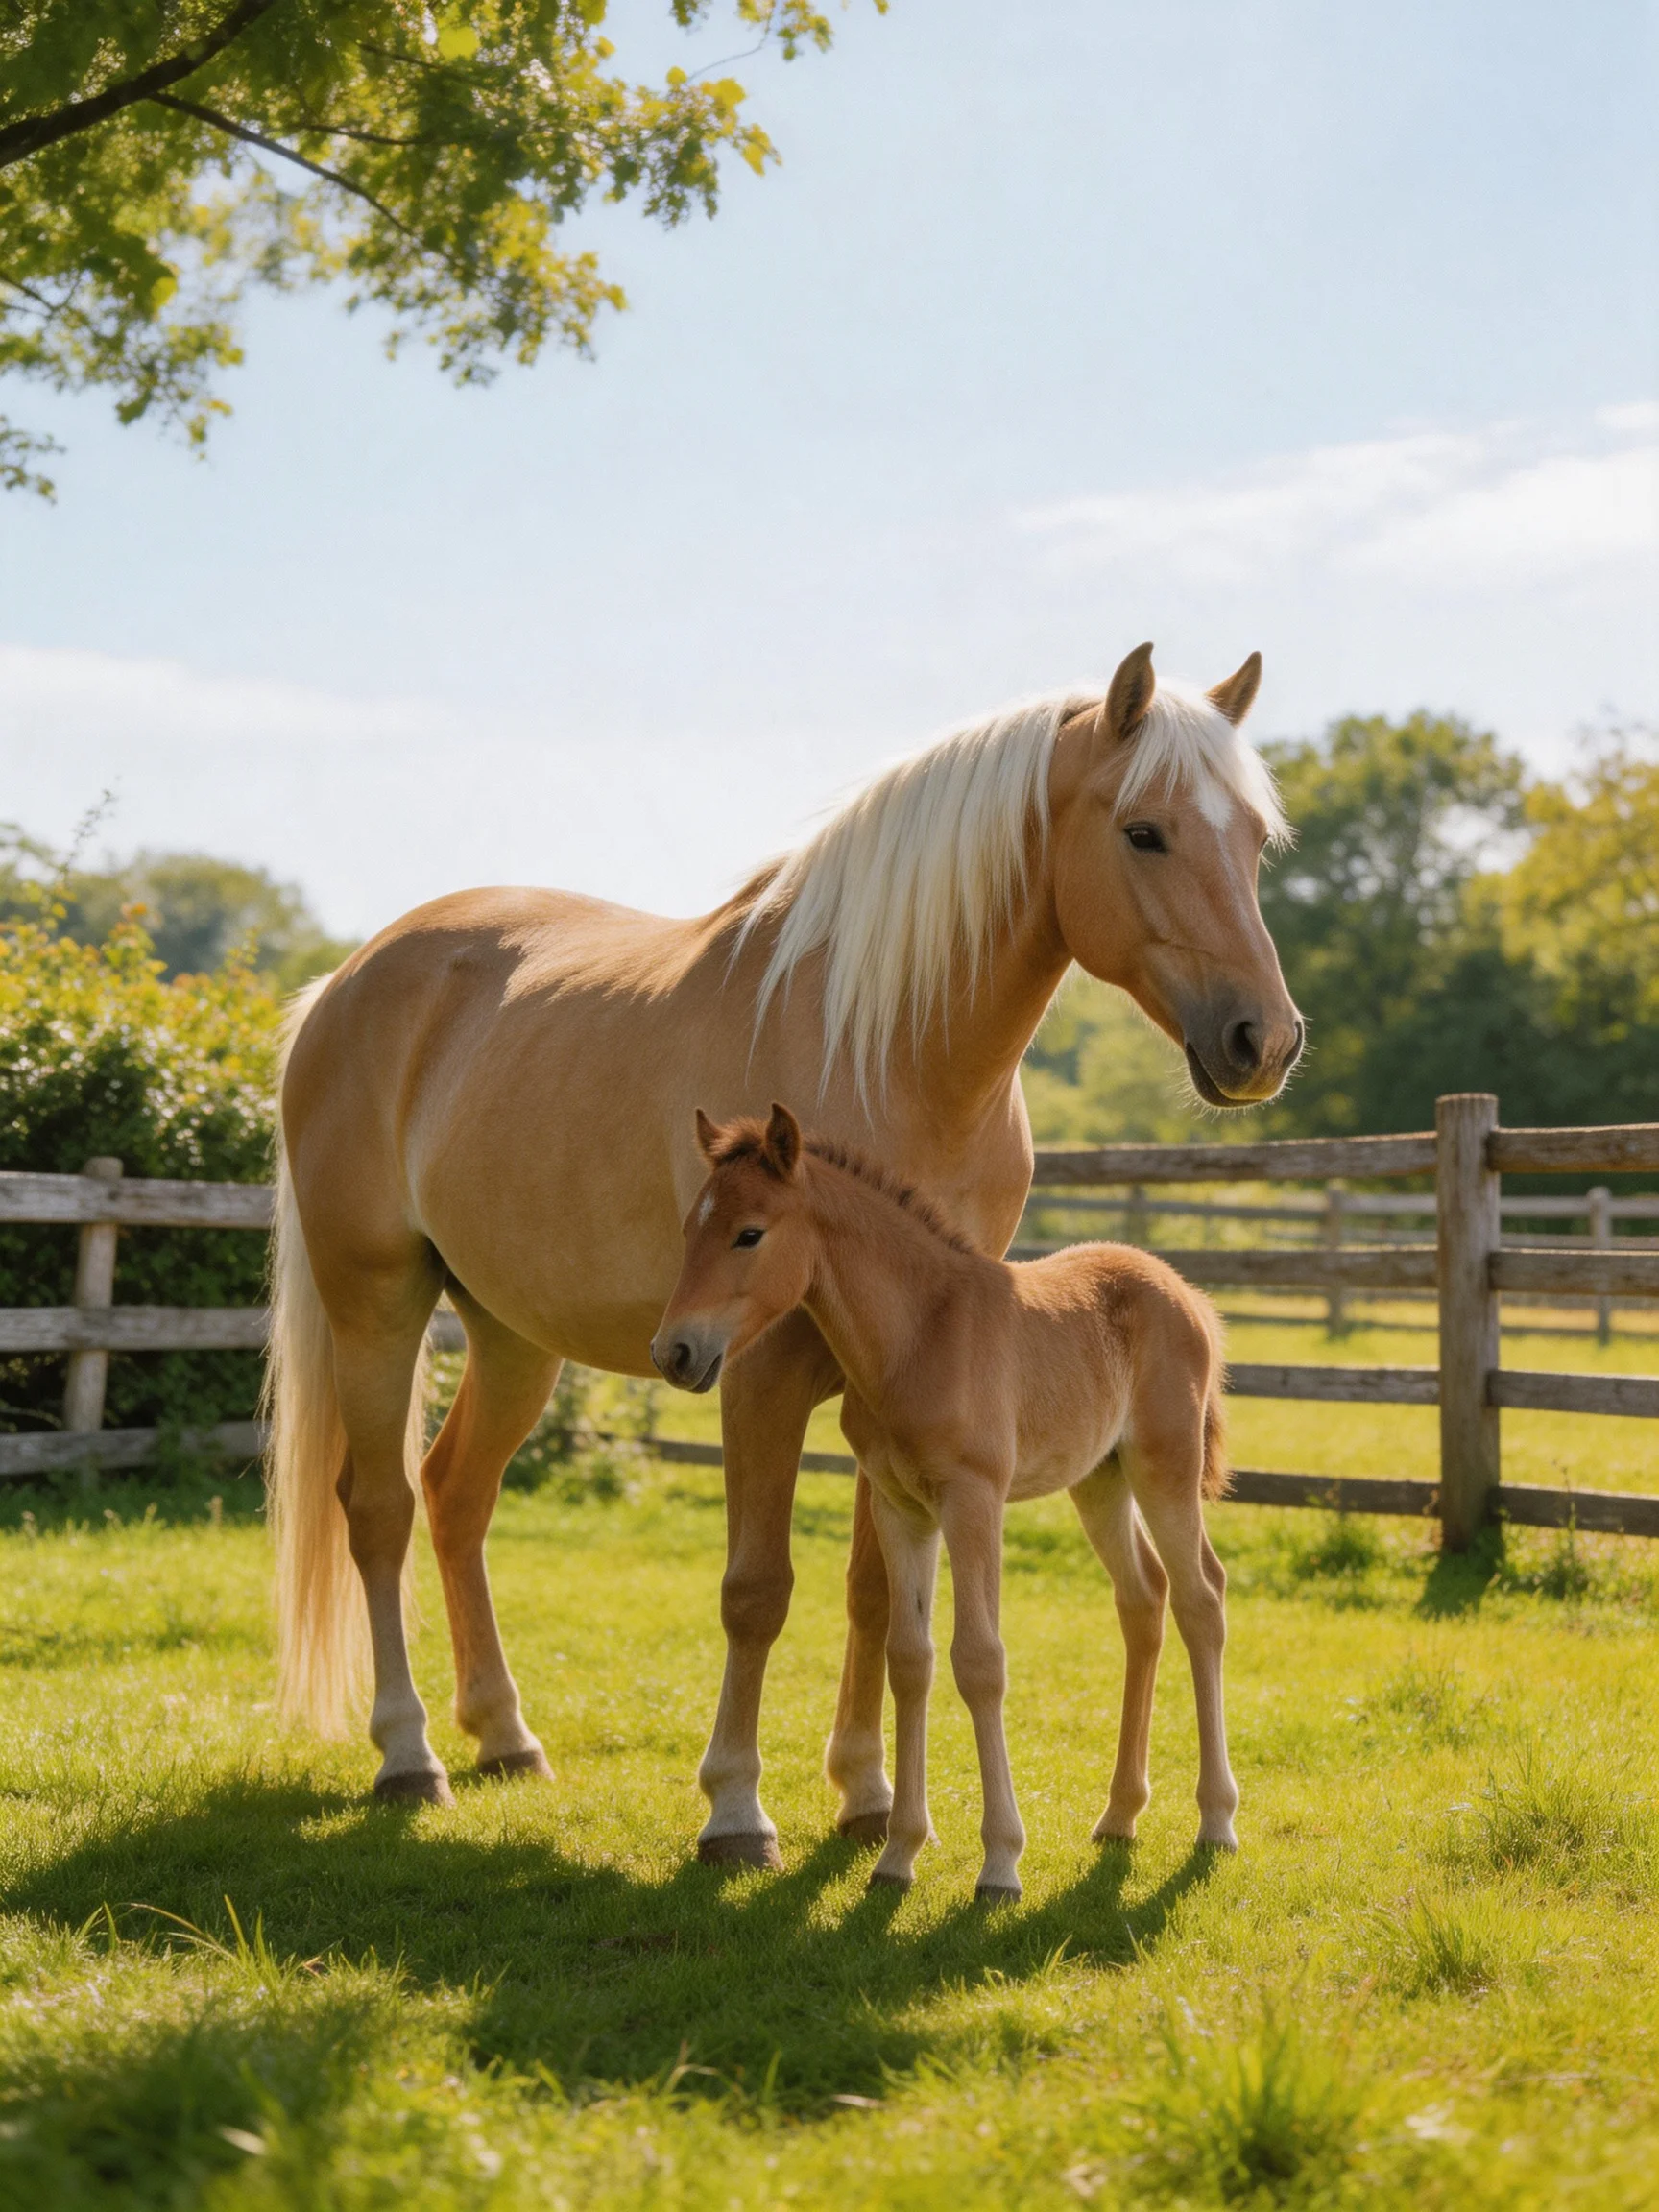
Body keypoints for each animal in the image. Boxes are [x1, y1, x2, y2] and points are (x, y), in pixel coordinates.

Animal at [652, 1103, 1237, 1898]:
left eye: (750, 1233)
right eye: (690, 1229)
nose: (673, 1353)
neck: (920, 1336)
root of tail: (1189, 1296)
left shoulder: (974, 1501)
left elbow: (980, 1661)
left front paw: (1000, 1864)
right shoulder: (902, 1507)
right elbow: (910, 1659)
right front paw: (898, 1854)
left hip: (1165, 1470)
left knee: (1201, 1599)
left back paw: (1217, 1821)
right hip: (1099, 1479)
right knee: (1143, 1597)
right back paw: (1119, 1815)